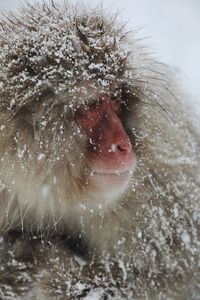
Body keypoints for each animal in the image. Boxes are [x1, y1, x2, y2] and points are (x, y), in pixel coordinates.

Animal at [0, 1, 200, 298]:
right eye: (92, 106)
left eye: (115, 98)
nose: (123, 144)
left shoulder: (160, 195)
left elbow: (170, 282)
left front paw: (49, 266)